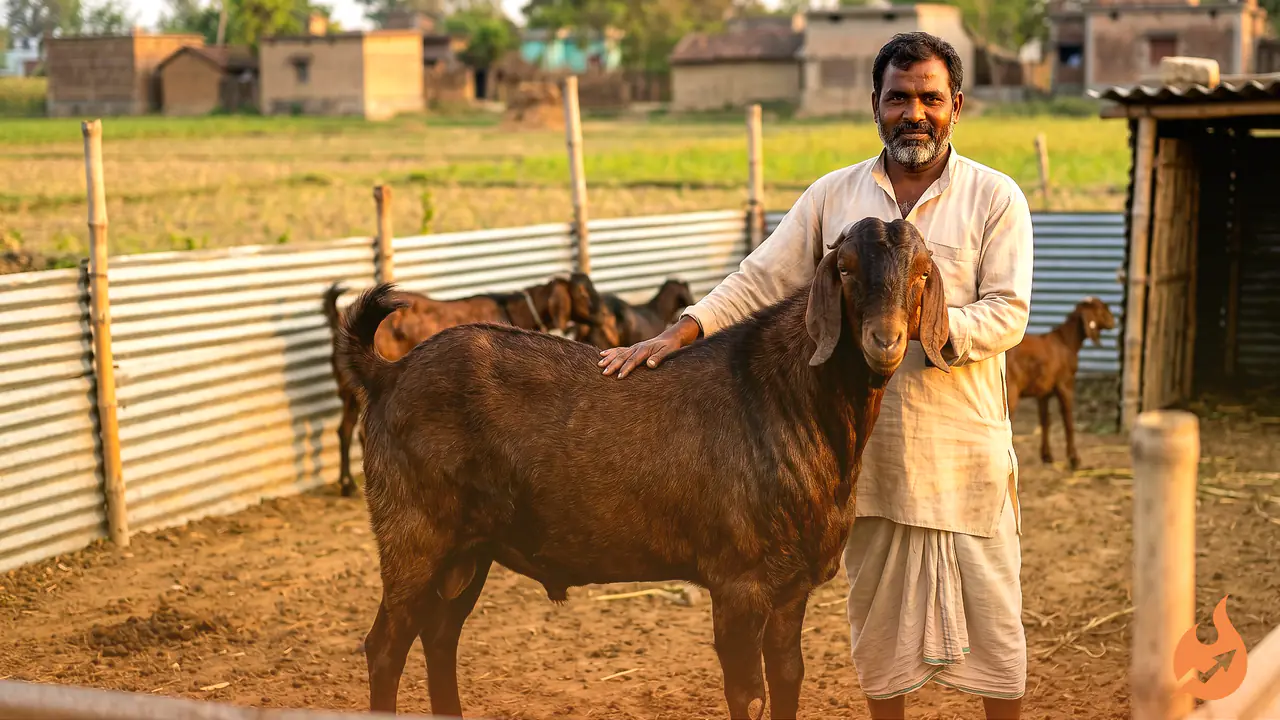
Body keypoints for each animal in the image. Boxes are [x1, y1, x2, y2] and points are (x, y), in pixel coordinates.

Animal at [1005, 296, 1117, 470]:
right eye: (1100, 309)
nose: (1113, 321)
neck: (1066, 341)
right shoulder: (1065, 384)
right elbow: (1068, 421)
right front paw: (1074, 459)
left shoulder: (1043, 392)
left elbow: (1045, 421)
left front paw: (1047, 456)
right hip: (1010, 391)